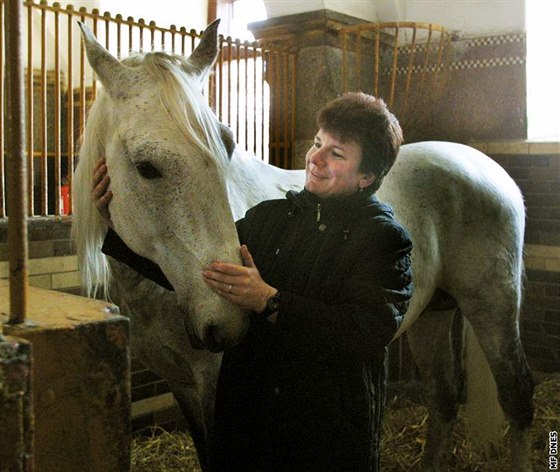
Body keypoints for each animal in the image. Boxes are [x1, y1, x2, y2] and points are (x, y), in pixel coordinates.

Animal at [73, 20, 532, 470]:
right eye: (146, 167)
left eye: (227, 144)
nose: (229, 319)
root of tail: (484, 165)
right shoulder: (182, 384)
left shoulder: (215, 385)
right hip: (434, 313)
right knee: (443, 398)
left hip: (492, 305)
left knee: (516, 396)